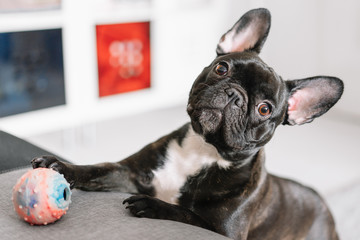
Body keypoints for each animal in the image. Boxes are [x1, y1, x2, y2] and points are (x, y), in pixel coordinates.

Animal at [33, 8, 344, 240]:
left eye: (264, 109)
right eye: (222, 68)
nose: (235, 96)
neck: (203, 150)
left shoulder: (224, 232)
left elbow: (187, 215)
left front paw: (153, 205)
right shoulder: (129, 174)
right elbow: (98, 168)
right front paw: (61, 166)